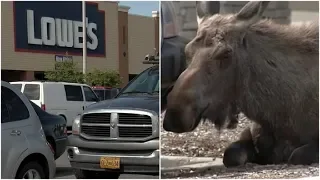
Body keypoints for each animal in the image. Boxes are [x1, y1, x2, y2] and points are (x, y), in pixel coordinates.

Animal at [164, 1, 318, 167]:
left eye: (226, 53)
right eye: (187, 50)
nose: (174, 115)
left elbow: (297, 155)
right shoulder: (250, 133)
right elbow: (230, 154)